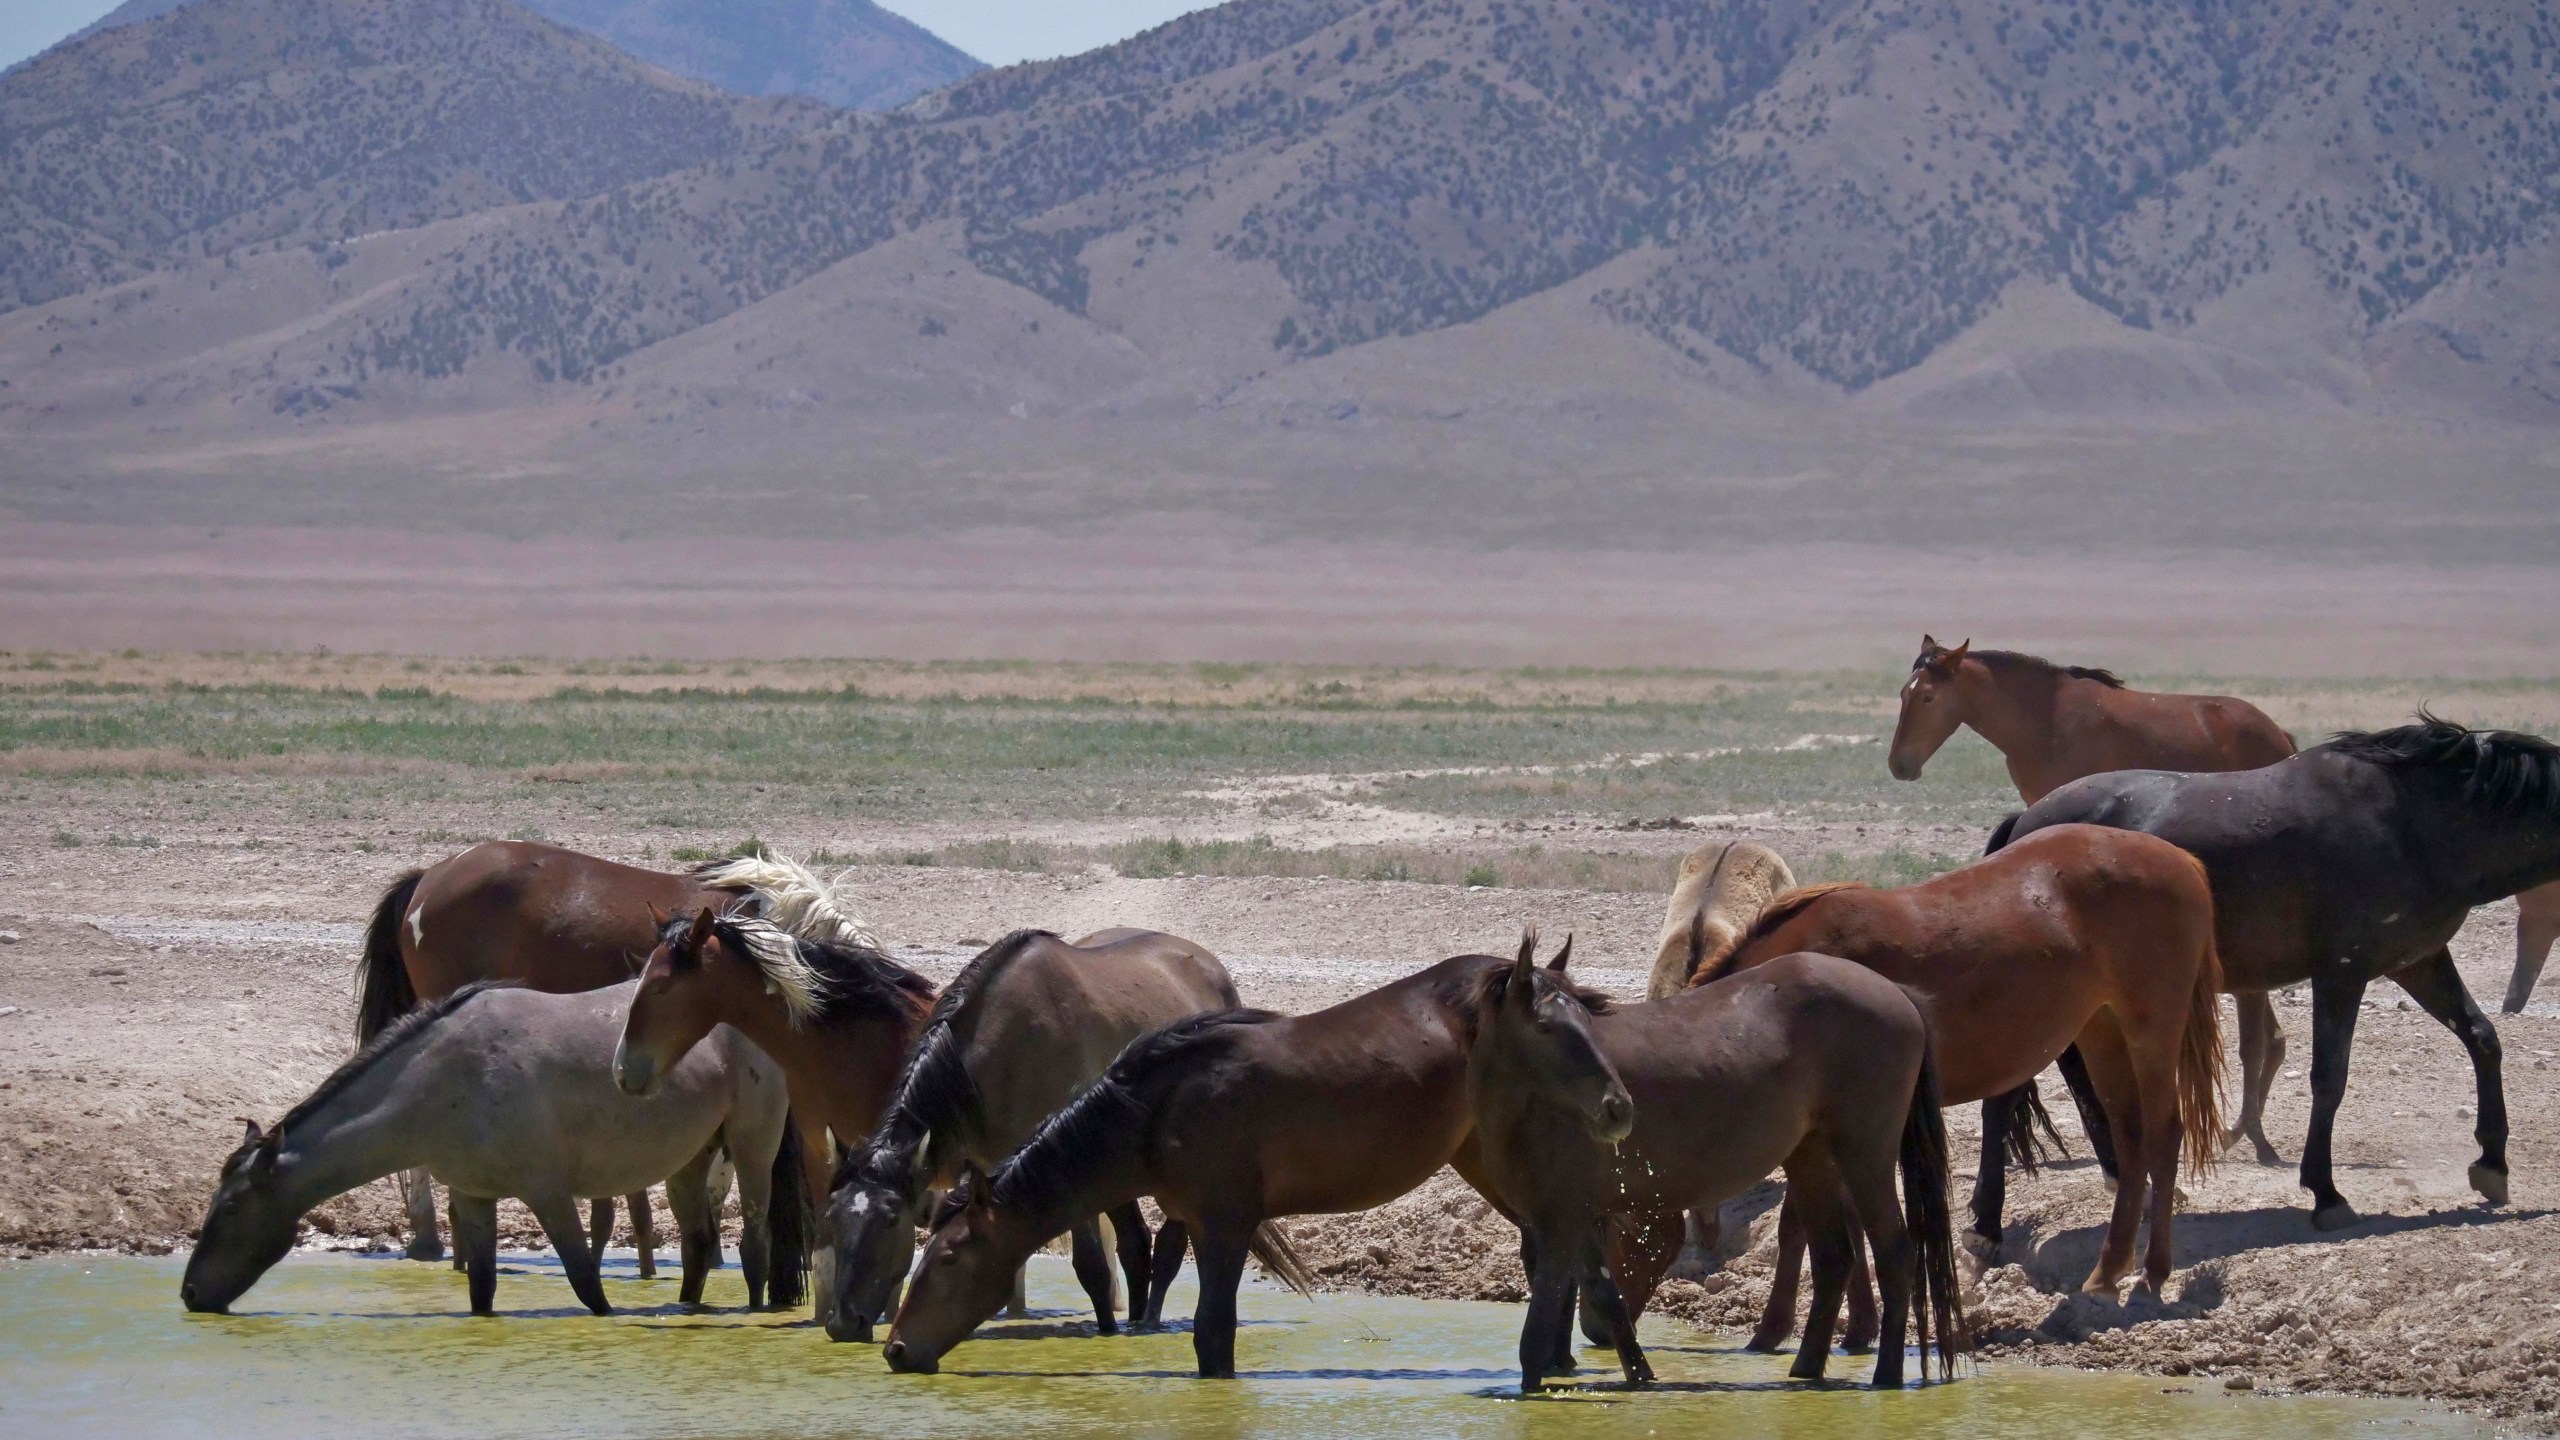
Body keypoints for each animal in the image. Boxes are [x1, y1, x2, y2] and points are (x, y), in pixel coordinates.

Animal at [179, 973, 793, 1311]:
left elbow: (586, 1283)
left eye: (231, 1209)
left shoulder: (548, 1193)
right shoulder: (474, 1197)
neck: (443, 1079)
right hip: (690, 1160)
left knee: (754, 1244)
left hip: (752, 1148)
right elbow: (482, 1290)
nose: (188, 1294)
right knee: (697, 1247)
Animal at [824, 922, 1233, 1342]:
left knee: (1169, 1245)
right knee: (1135, 1244)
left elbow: (1091, 1267)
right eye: (832, 1215)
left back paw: (1149, 1322)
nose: (843, 1323)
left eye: (891, 1218)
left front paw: (1105, 1335)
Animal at [1464, 932, 1955, 1393]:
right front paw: (1639, 1377)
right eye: (1544, 1026)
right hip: (1811, 1159)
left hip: (1865, 1157)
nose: (1618, 1108)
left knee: (1895, 1253)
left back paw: (1886, 1376)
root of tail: (1894, 991)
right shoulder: (1573, 1219)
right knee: (1834, 1259)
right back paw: (1805, 1374)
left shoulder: (1560, 1220)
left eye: (1586, 1021)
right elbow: (1605, 1296)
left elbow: (1540, 1326)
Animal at [1996, 712, 2560, 1219]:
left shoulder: (2417, 962)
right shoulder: (2342, 972)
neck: (2413, 823)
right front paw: (2325, 1192)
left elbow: (2482, 1037)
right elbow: (2329, 1077)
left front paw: (2492, 1163)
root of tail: (2024, 823)